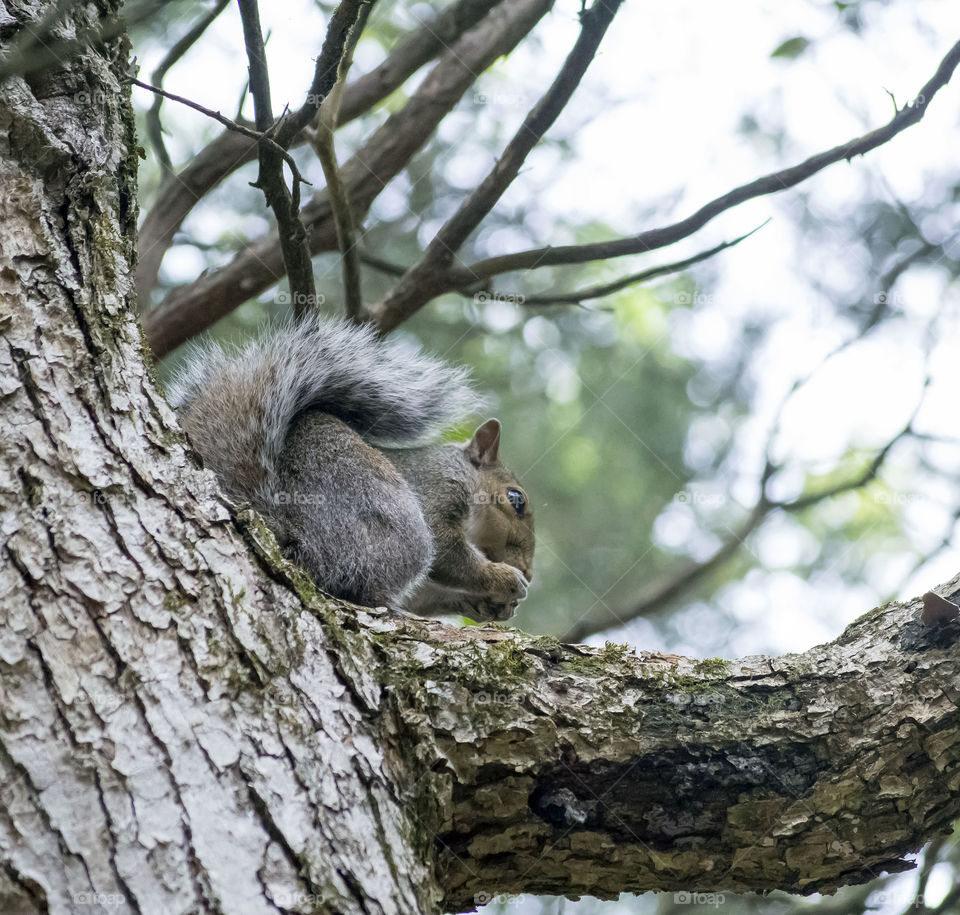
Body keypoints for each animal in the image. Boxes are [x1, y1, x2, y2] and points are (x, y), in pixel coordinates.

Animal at [168, 315, 534, 622]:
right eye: (516, 499)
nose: (529, 572)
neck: (463, 475)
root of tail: (289, 532)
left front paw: (484, 604)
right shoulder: (437, 489)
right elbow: (448, 552)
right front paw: (502, 578)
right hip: (390, 519)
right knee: (369, 590)